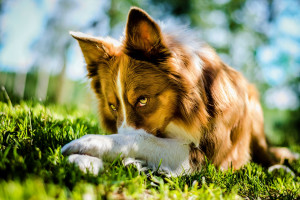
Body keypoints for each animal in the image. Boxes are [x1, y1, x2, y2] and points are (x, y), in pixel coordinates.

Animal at [62, 6, 296, 175]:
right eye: (112, 106)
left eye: (143, 100)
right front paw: (85, 160)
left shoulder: (204, 155)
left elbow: (142, 139)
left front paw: (90, 142)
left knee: (266, 155)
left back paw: (280, 168)